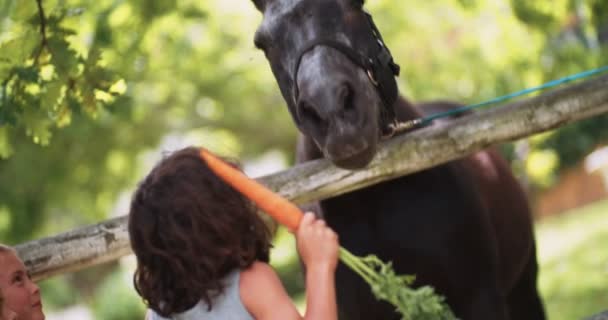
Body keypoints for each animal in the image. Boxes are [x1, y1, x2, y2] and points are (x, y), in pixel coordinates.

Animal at [249, 1, 544, 318]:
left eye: (356, 6)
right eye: (263, 43)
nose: (332, 109)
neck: (371, 201)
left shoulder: (481, 299)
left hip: (524, 288)